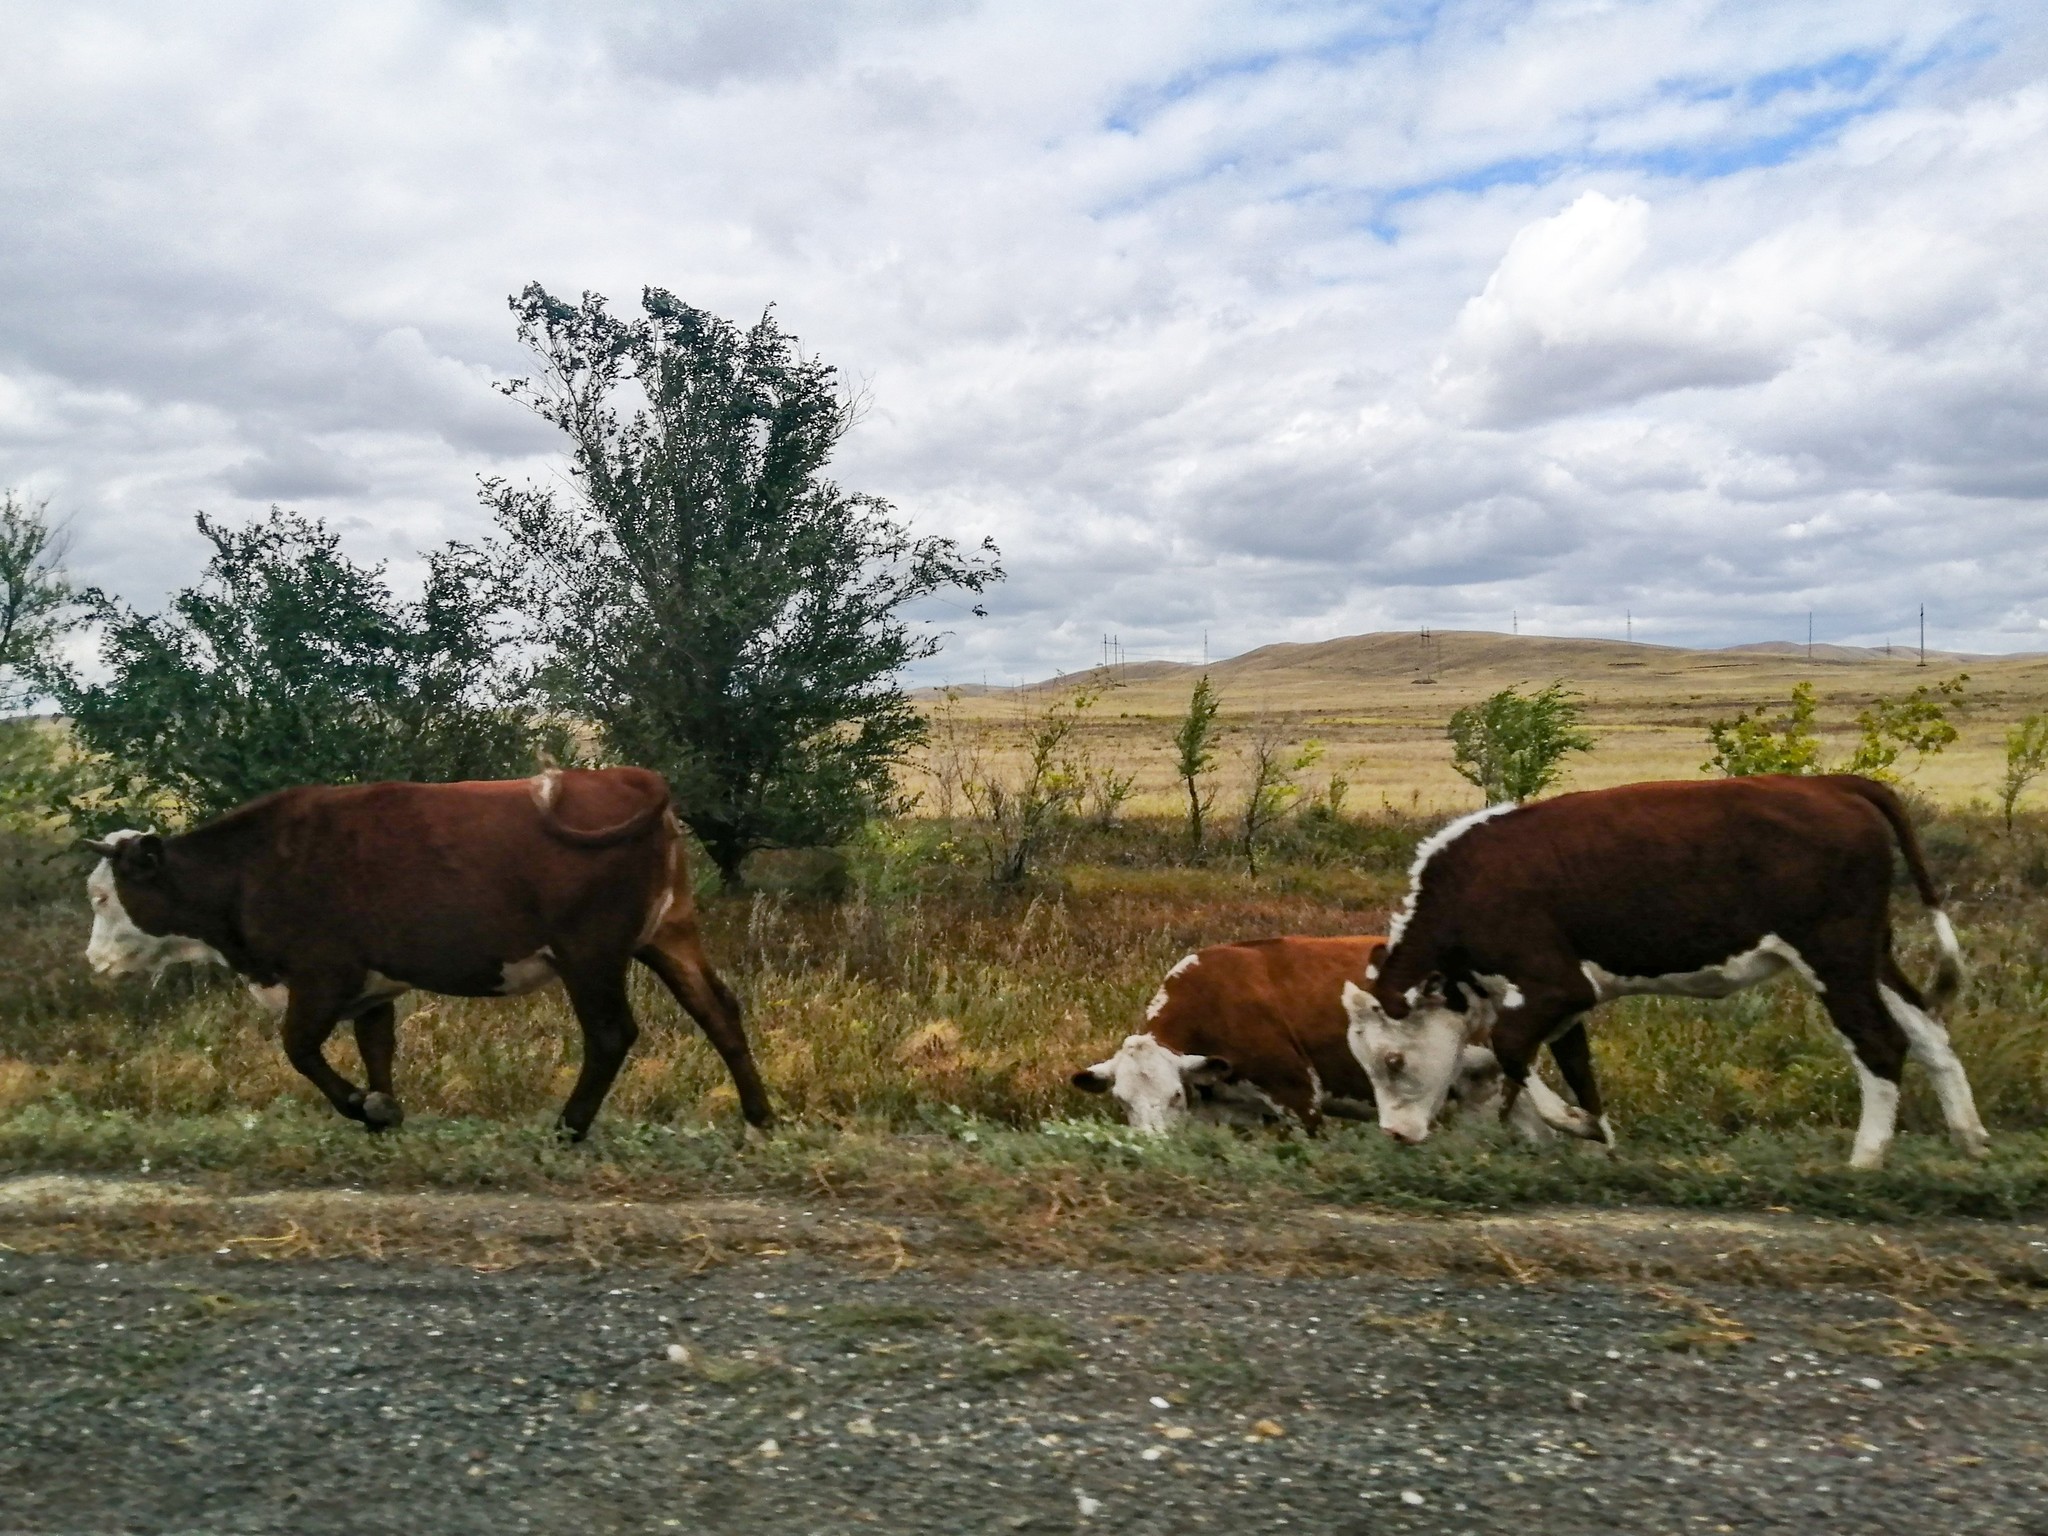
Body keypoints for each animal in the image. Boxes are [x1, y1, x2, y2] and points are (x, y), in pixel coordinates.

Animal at [81, 770, 774, 1146]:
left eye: (102, 895)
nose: (93, 962)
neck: (251, 867)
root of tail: (621, 775)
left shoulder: (322, 974)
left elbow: (299, 1049)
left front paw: (365, 1107)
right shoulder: (371, 986)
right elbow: (376, 1049)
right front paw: (383, 1112)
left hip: (590, 954)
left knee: (610, 1034)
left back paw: (568, 1128)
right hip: (669, 935)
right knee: (719, 1011)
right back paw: (760, 1119)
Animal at [1343, 774, 1982, 1171]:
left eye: (1393, 1060)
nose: (1395, 1134)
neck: (1465, 886)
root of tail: (1831, 782)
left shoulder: (1555, 985)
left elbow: (1511, 1051)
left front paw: (1574, 1125)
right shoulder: (1559, 1002)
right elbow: (1569, 1066)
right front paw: (1598, 1138)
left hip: (1835, 956)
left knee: (1880, 1043)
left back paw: (1865, 1159)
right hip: (1872, 956)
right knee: (1929, 1032)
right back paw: (1969, 1139)